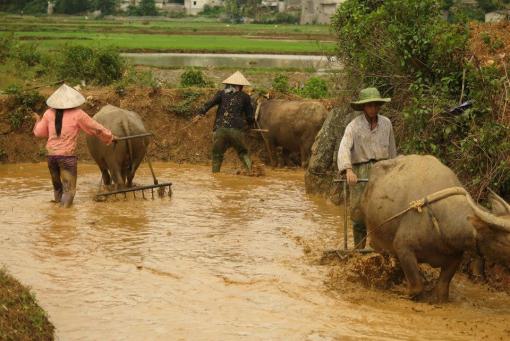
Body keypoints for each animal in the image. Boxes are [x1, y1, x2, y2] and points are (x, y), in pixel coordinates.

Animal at [360, 154, 508, 300]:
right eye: (504, 241)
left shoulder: (455, 257)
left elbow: (442, 290)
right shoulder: (403, 248)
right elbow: (417, 287)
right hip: (375, 237)